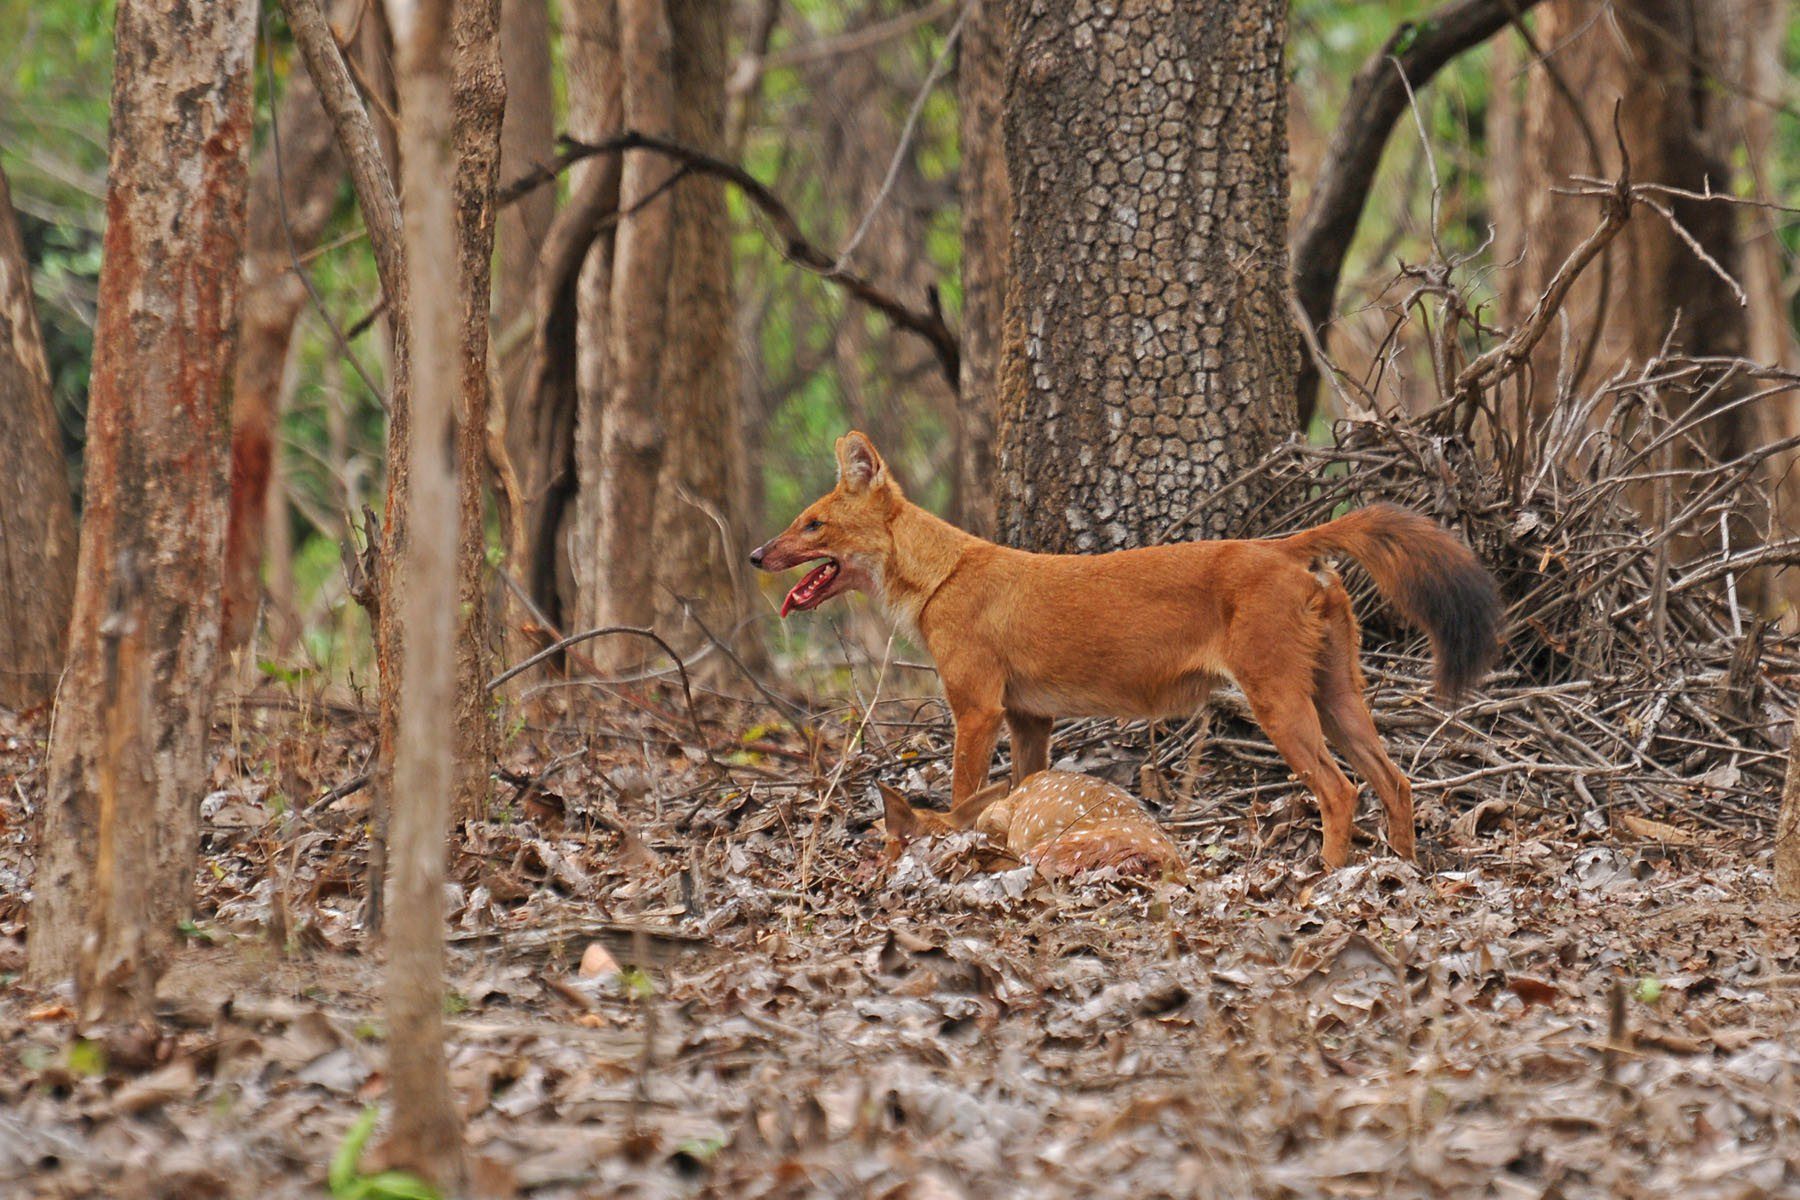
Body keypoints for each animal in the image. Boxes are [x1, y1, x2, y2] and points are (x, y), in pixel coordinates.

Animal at [759, 437, 1504, 867]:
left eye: (813, 524)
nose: (755, 553)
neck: (941, 574)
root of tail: (1281, 544)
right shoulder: (1031, 718)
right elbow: (1026, 787)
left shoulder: (976, 708)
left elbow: (964, 793)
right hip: (1338, 694)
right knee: (1395, 780)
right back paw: (1403, 872)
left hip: (1278, 700)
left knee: (1340, 788)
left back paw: (1322, 880)